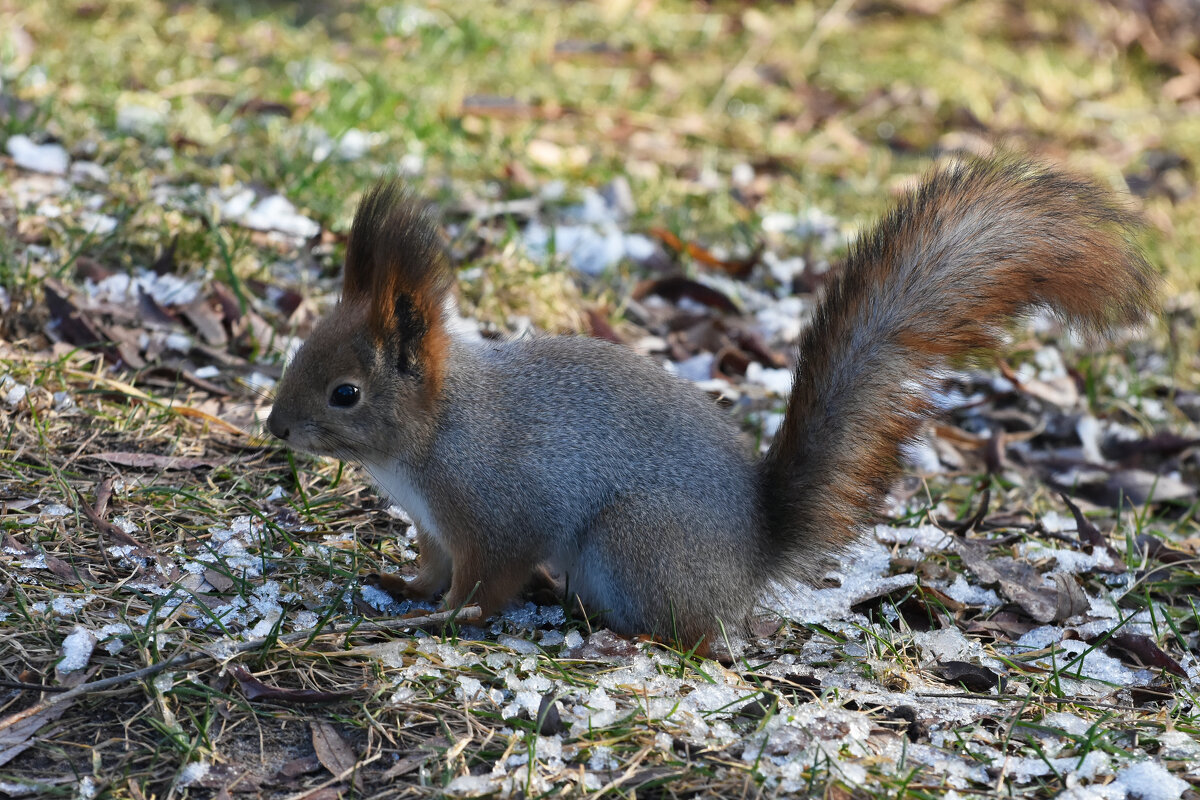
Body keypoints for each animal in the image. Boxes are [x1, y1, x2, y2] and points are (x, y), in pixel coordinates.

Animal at [267, 158, 1156, 652]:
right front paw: (404, 589)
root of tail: (754, 555)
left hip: (634, 541)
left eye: (345, 393)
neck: (428, 441)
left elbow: (486, 586)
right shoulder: (434, 526)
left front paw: (441, 622)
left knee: (692, 635)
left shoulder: (497, 515)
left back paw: (617, 635)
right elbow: (431, 567)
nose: (274, 427)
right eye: (301, 351)